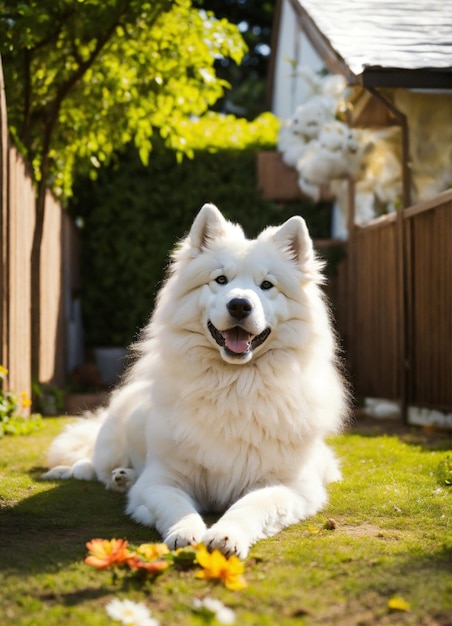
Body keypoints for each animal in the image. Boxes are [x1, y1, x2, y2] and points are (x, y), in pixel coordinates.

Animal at [42, 205, 348, 556]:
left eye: (266, 285)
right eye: (220, 280)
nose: (239, 305)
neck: (234, 385)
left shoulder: (291, 486)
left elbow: (251, 505)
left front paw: (227, 536)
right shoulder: (161, 480)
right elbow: (176, 505)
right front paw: (185, 532)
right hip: (109, 444)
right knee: (91, 466)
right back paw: (104, 475)